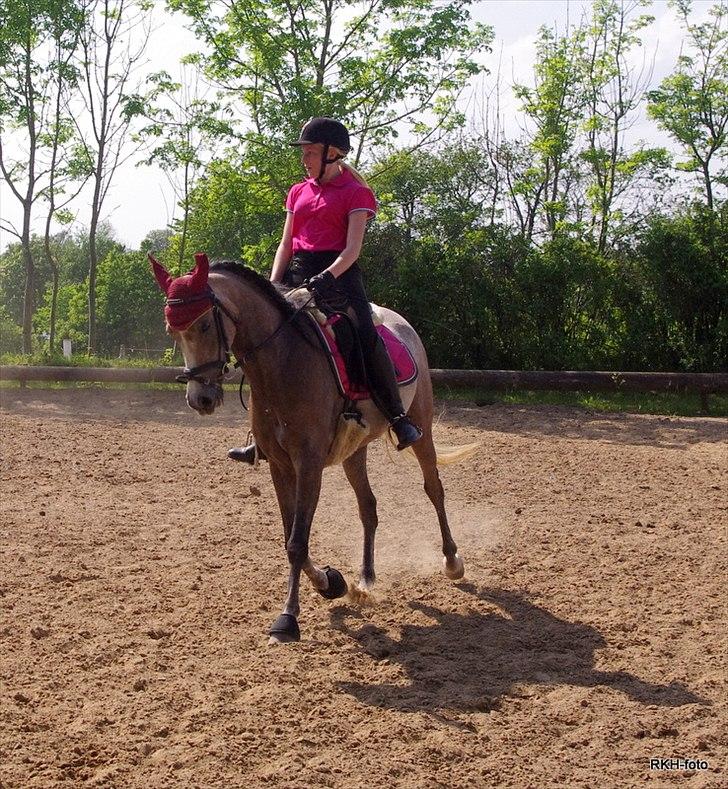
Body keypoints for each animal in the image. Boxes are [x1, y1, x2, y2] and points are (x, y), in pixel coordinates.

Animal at [152, 252, 472, 640]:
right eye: (172, 331)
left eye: (202, 327)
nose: (200, 399)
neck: (282, 362)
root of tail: (400, 323)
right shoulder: (280, 465)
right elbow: (292, 536)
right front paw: (331, 582)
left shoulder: (309, 464)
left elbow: (297, 541)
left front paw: (288, 618)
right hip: (354, 451)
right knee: (368, 507)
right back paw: (365, 578)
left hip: (421, 428)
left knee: (434, 488)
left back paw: (452, 560)